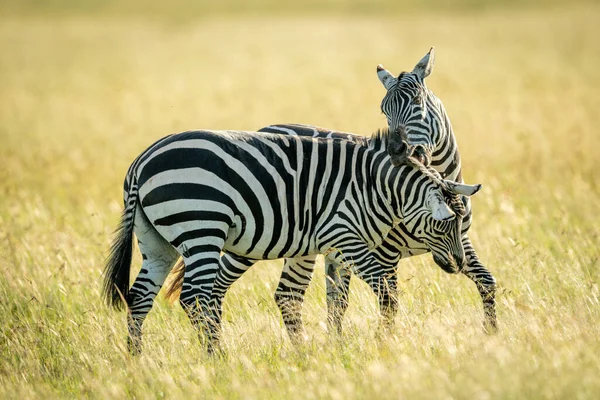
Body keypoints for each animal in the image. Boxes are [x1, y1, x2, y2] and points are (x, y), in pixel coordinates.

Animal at [102, 127, 478, 354]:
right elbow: (387, 294)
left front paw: (328, 351)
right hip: (201, 228)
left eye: (462, 222)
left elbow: (329, 300)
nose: (460, 264)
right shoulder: (347, 238)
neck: (374, 188)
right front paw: (386, 342)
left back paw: (136, 360)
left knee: (140, 297)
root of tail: (141, 162)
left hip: (156, 242)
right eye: (445, 224)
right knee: (195, 298)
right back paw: (217, 358)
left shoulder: (331, 246)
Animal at [378, 48, 500, 332]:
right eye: (383, 111)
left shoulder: (460, 239)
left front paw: (492, 332)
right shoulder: (385, 252)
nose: (395, 150)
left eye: (417, 103)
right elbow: (389, 305)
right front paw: (386, 340)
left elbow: (487, 282)